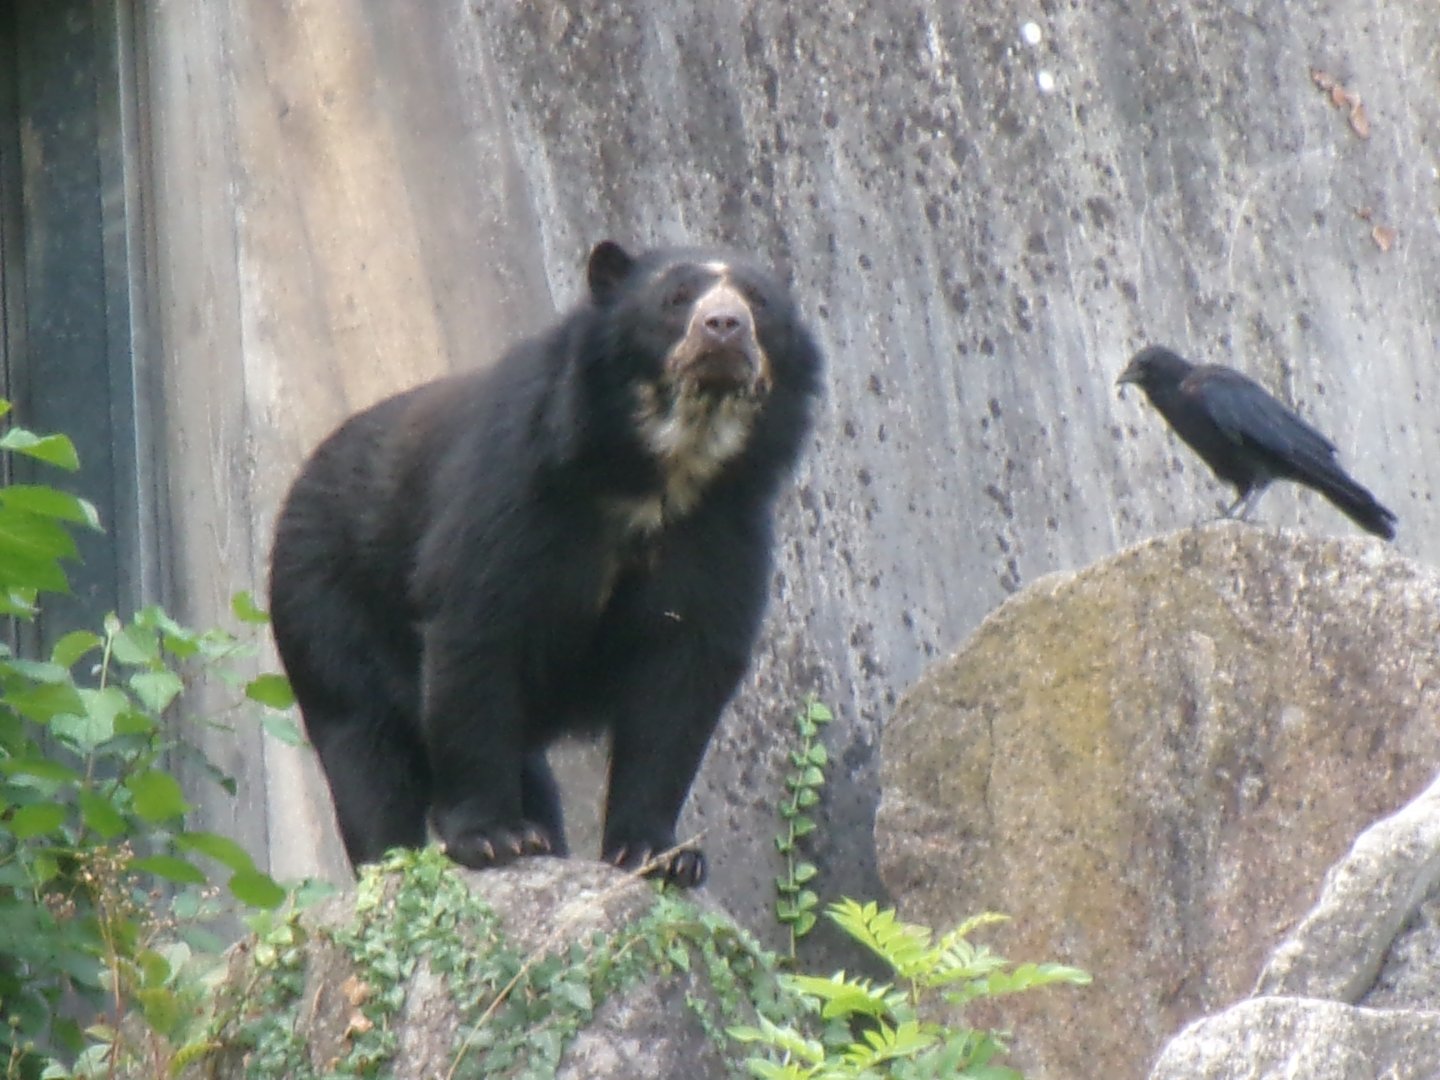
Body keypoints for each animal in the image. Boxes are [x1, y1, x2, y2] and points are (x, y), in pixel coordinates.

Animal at [268, 240, 822, 887]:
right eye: (676, 297)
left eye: (758, 303)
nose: (725, 328)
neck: (659, 471)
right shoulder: (515, 492)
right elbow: (476, 632)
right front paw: (492, 838)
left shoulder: (722, 530)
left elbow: (681, 678)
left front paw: (662, 855)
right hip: (324, 604)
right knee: (364, 743)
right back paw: (393, 862)